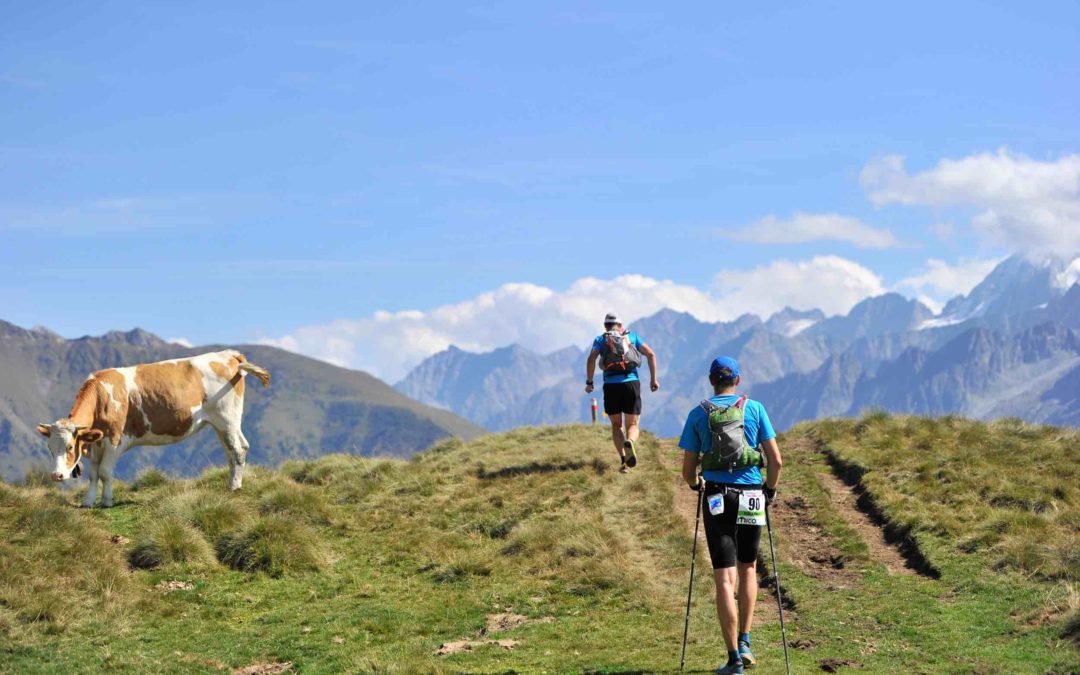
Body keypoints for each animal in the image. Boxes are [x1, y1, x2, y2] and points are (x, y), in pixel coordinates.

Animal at [37, 352, 270, 505]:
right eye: (49, 448)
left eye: (69, 447)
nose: (56, 475)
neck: (102, 395)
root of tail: (228, 354)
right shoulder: (95, 443)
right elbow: (94, 474)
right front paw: (88, 502)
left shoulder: (114, 439)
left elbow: (104, 472)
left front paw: (107, 501)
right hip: (222, 424)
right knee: (235, 449)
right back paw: (232, 483)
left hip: (227, 418)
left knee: (237, 450)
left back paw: (234, 486)